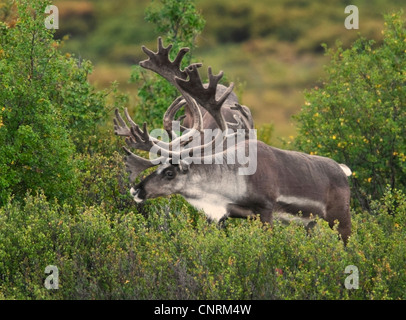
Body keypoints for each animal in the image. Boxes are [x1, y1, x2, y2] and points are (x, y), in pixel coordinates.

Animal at [114, 37, 352, 242]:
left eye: (170, 173)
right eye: (158, 167)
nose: (136, 190)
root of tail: (342, 169)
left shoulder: (266, 210)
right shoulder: (226, 213)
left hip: (340, 218)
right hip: (311, 224)